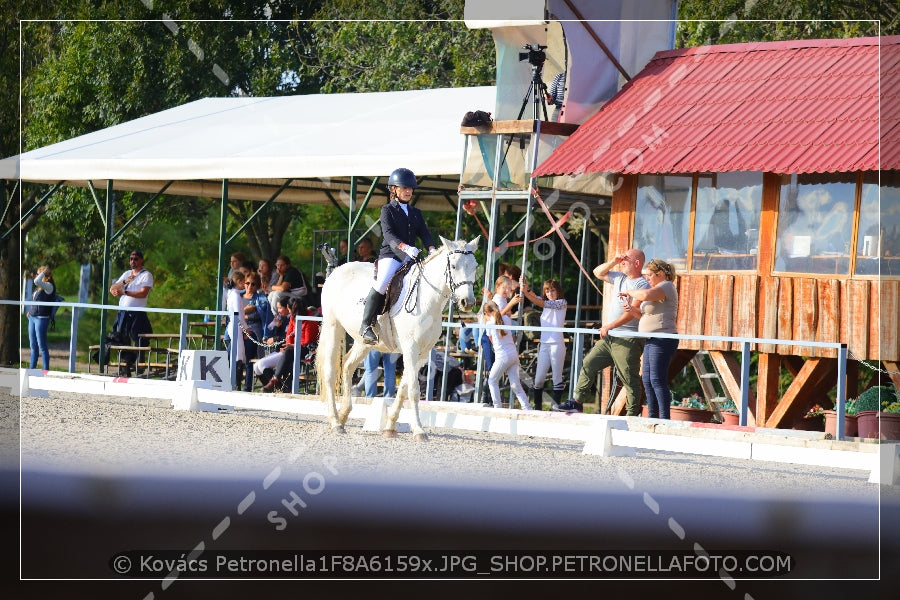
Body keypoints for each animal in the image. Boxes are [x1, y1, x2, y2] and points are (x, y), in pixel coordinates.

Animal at [316, 236, 478, 440]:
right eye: (454, 266)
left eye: (475, 266)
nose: (467, 302)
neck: (428, 300)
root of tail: (337, 271)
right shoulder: (410, 348)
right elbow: (414, 390)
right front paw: (419, 430)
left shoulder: (422, 354)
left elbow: (404, 388)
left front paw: (390, 426)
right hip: (333, 327)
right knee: (330, 371)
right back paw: (336, 421)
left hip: (363, 342)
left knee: (347, 366)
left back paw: (344, 414)